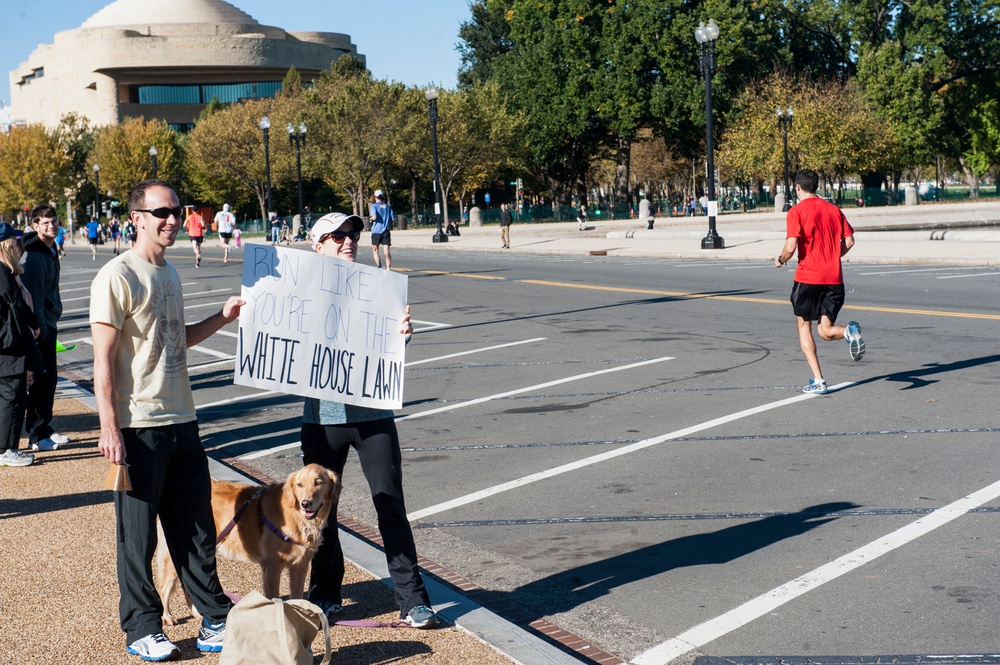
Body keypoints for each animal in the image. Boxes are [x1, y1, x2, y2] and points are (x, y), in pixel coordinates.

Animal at [156, 462, 340, 624]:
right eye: (299, 485)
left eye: (318, 482)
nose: (305, 504)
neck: (297, 517)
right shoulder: (272, 567)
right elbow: (274, 597)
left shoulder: (300, 566)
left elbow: (297, 597)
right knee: (164, 588)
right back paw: (167, 616)